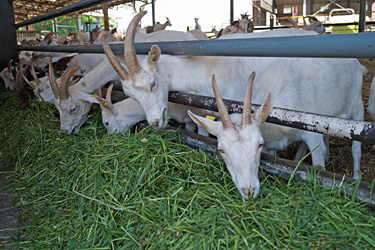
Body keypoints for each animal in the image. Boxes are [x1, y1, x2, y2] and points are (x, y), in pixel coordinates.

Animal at [103, 11, 368, 199]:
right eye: (130, 93)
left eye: (152, 83)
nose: (156, 123)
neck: (206, 67)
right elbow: (204, 137)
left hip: (355, 109)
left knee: (354, 143)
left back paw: (355, 177)